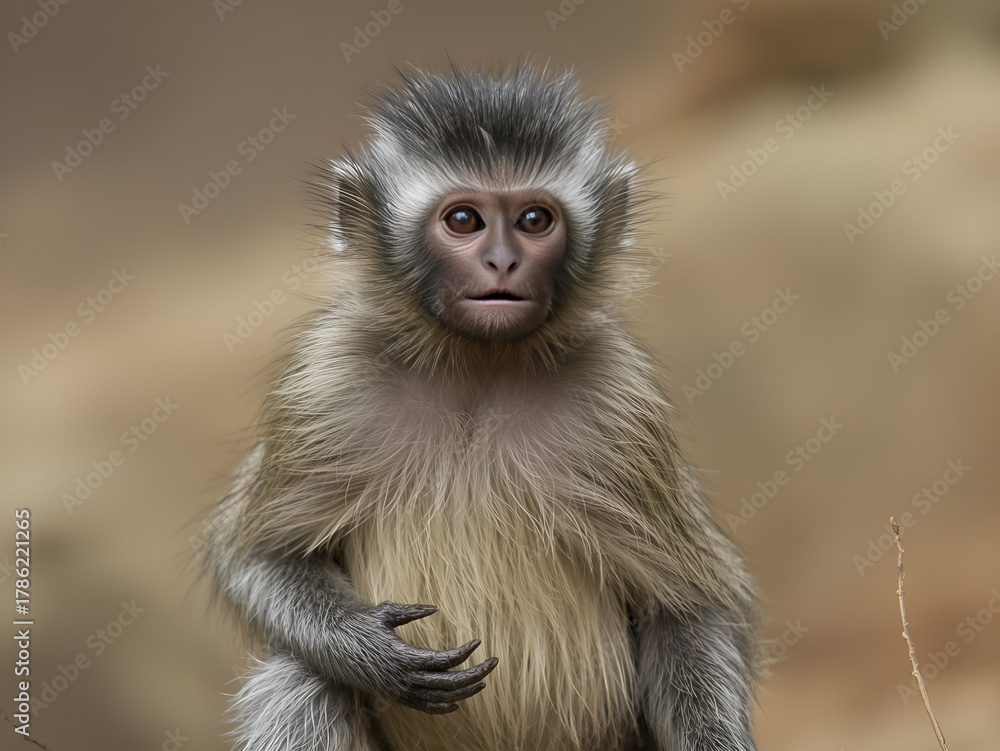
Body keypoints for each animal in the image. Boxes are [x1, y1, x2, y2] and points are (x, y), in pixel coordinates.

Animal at [203, 65, 760, 751]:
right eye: (464, 220)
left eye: (535, 219)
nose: (502, 261)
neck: (477, 370)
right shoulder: (326, 378)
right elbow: (256, 556)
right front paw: (367, 649)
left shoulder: (618, 397)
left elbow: (691, 611)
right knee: (300, 676)